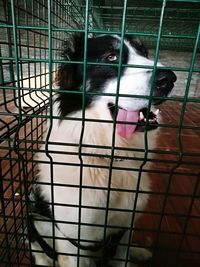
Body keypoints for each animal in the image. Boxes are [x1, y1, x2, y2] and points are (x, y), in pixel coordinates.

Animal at [28, 34, 177, 266]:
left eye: (144, 53)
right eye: (111, 57)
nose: (169, 79)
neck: (110, 157)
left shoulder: (123, 228)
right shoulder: (73, 241)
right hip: (36, 223)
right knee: (41, 253)